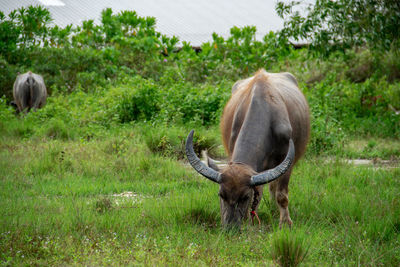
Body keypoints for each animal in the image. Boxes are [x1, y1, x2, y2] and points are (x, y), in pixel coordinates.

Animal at [185, 70, 310, 229]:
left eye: (245, 196)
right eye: (221, 195)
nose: (230, 228)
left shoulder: (287, 161)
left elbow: (281, 195)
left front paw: (285, 223)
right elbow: (260, 193)